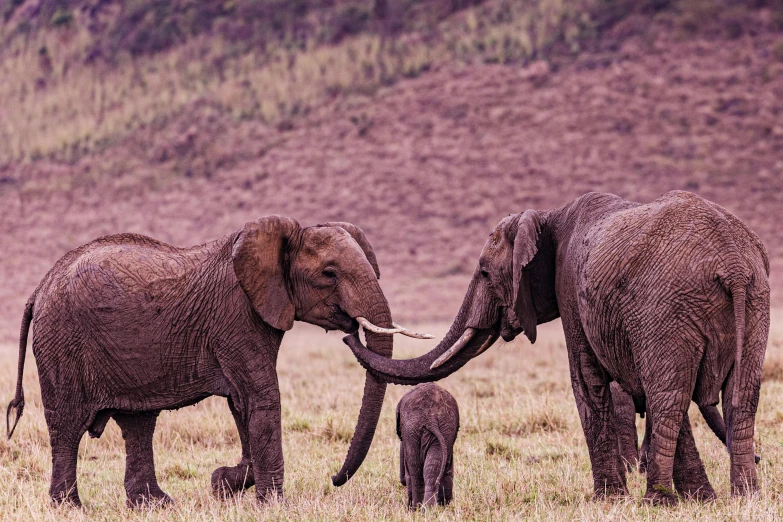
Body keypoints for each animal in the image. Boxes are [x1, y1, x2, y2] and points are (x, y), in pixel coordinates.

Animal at [3, 214, 432, 504]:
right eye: (329, 273)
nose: (334, 478)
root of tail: (37, 290)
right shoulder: (236, 315)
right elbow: (261, 398)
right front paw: (270, 502)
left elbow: (242, 404)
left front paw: (223, 484)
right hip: (62, 343)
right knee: (67, 425)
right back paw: (70, 507)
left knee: (138, 424)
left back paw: (155, 505)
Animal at [348, 192, 772, 504]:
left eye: (484, 272)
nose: (349, 332)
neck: (547, 217)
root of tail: (733, 264)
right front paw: (701, 500)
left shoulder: (571, 287)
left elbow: (587, 378)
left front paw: (609, 501)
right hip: (755, 299)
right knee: (739, 396)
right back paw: (745, 498)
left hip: (671, 306)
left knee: (669, 397)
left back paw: (657, 502)